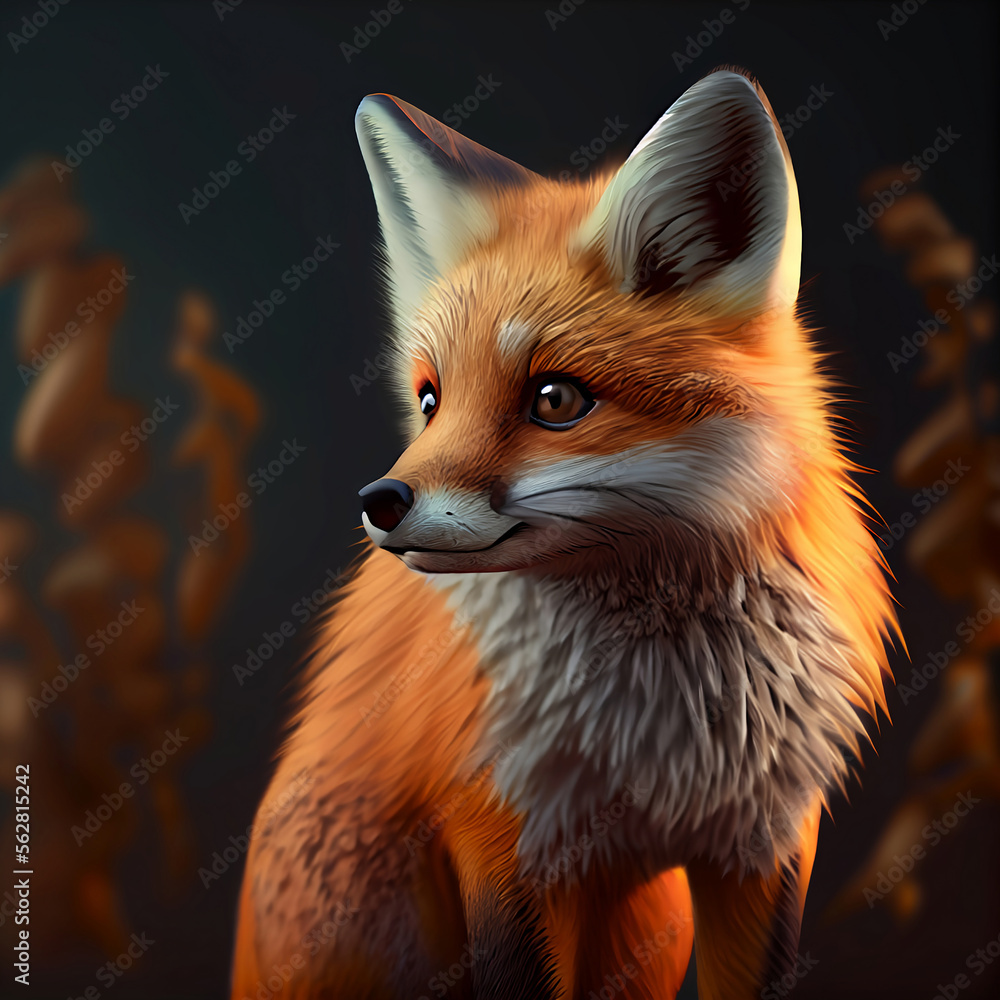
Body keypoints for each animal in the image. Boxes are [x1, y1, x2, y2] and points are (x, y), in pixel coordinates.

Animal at [231, 67, 898, 999]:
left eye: (555, 400)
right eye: (431, 399)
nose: (380, 500)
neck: (659, 723)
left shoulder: (765, 843)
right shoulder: (503, 842)